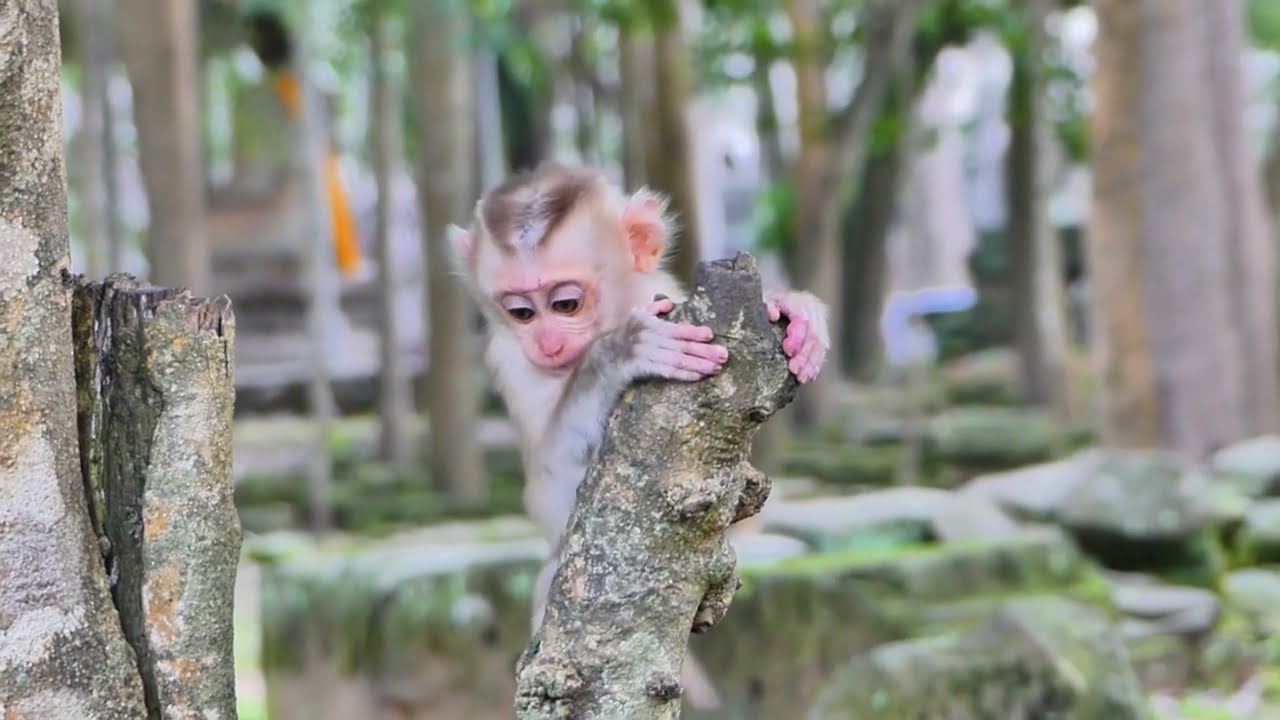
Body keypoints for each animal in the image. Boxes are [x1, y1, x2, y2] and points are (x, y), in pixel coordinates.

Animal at [447, 162, 829, 709]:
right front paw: (622, 351)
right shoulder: (510, 361)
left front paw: (794, 310)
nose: (546, 342)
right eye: (521, 313)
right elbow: (550, 480)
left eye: (565, 304)